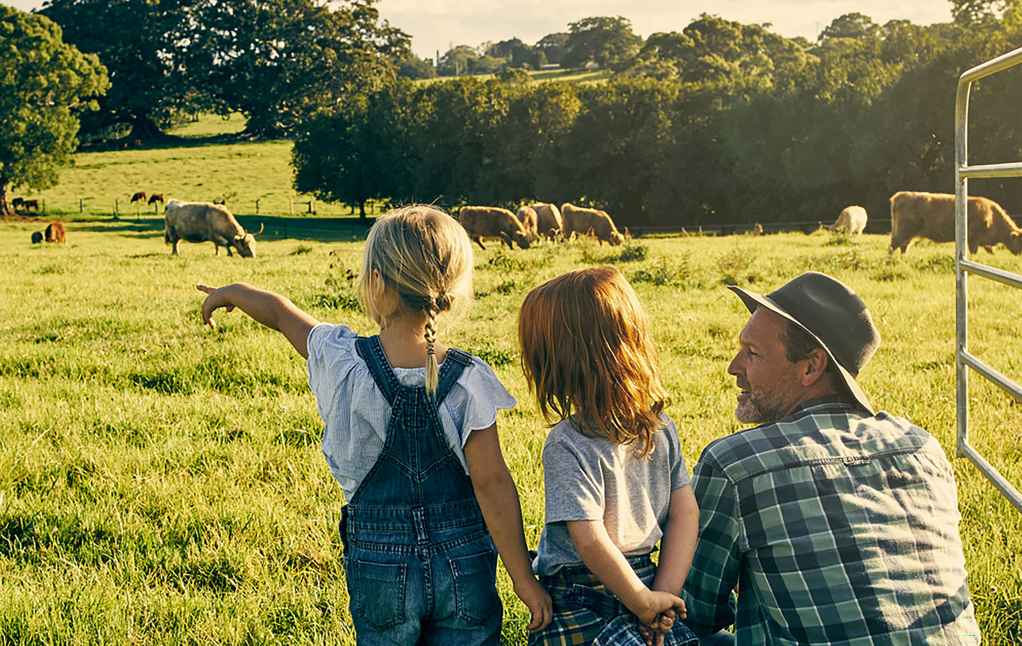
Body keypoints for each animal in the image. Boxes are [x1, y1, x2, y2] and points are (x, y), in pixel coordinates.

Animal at [887, 190, 1021, 253]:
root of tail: (899, 196)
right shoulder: (973, 240)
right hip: (902, 232)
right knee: (893, 247)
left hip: (906, 235)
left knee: (903, 247)